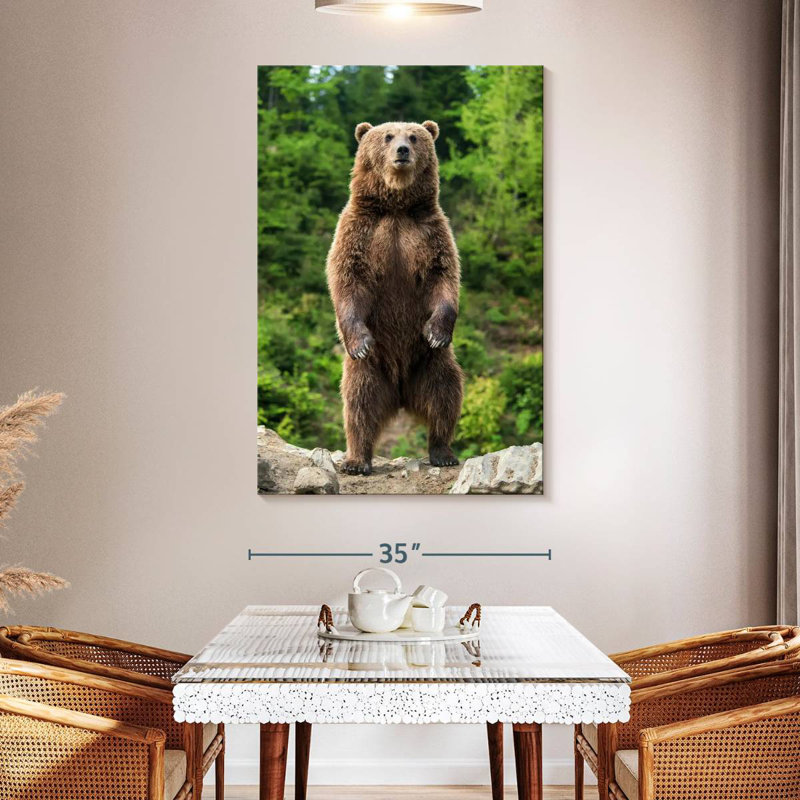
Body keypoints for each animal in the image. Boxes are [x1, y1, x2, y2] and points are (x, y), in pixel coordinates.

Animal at [326, 119, 464, 476]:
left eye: (414, 136)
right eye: (388, 136)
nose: (402, 150)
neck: (396, 207)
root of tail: (401, 394)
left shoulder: (430, 232)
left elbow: (443, 276)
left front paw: (437, 331)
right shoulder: (360, 231)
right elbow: (347, 279)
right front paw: (359, 340)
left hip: (430, 363)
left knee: (446, 395)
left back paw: (443, 451)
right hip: (372, 369)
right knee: (358, 404)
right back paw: (356, 460)